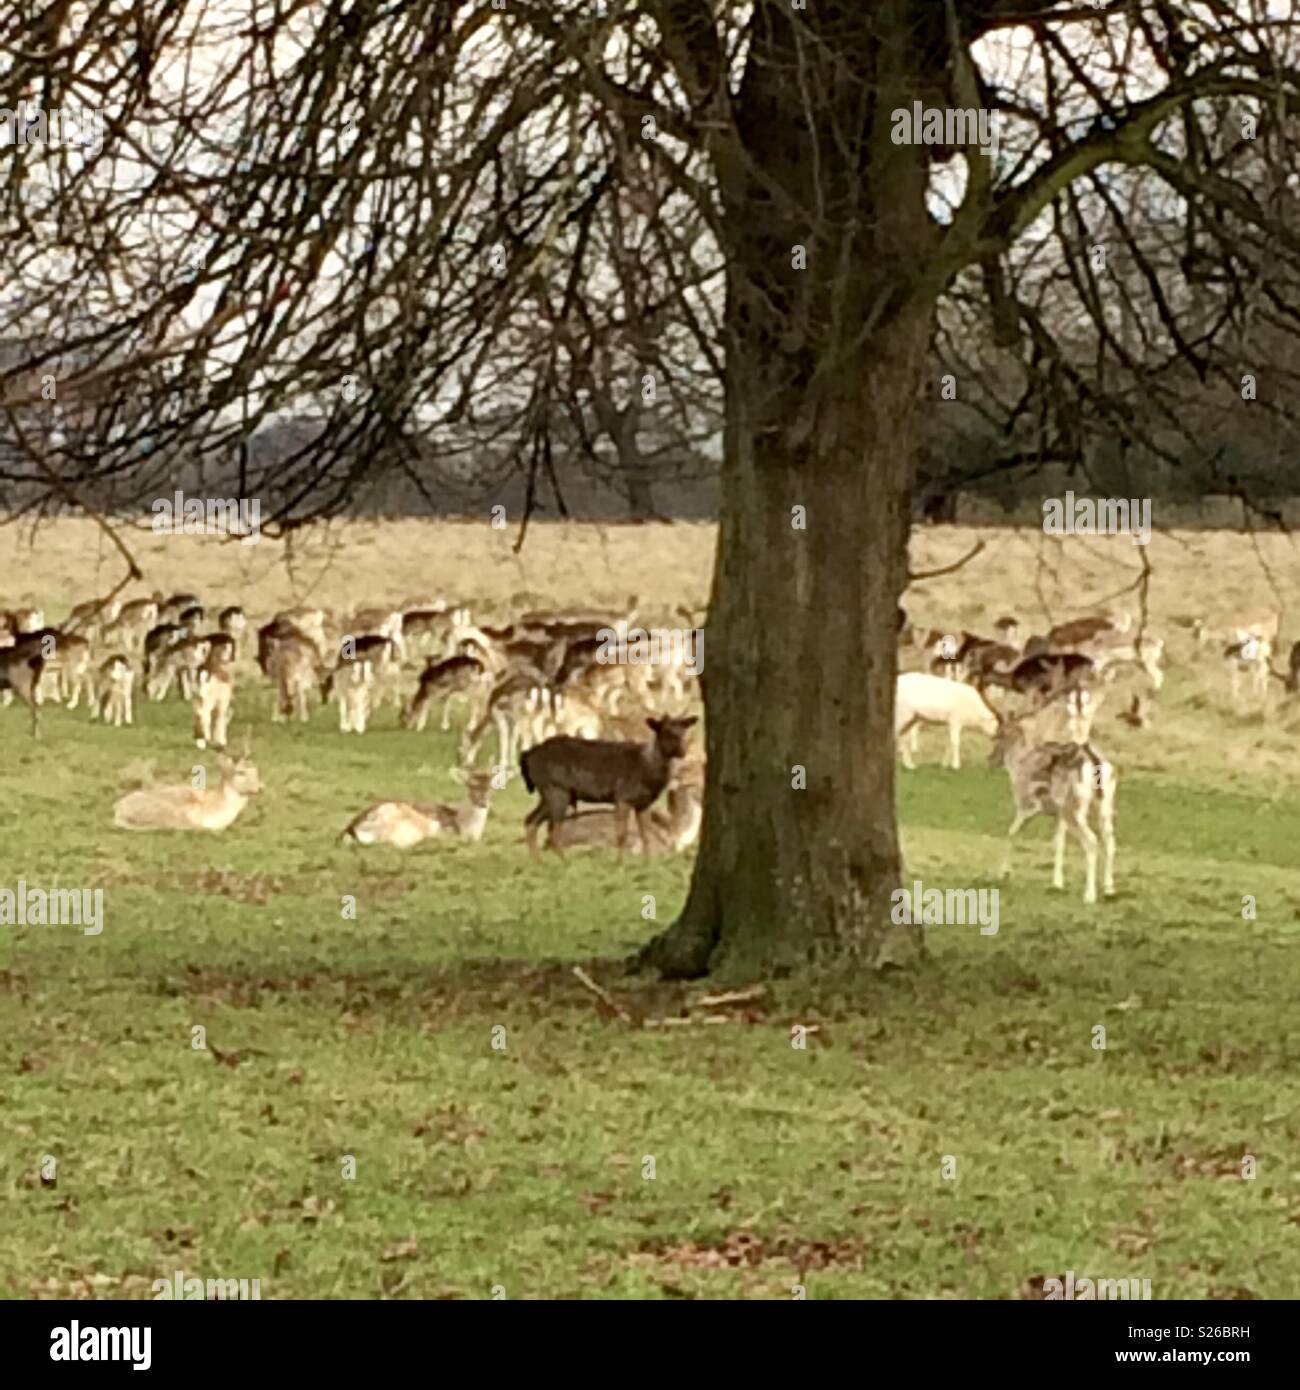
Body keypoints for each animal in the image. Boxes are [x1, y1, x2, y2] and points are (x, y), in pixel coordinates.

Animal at [989, 716, 1117, 905]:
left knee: (1091, 841)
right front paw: (1057, 883)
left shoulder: (1027, 805)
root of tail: (1094, 760)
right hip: (1104, 806)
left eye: (997, 735)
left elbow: (1012, 832)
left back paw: (1089, 895)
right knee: (1110, 841)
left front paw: (1003, 873)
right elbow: (1059, 843)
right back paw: (1109, 890)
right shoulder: (1058, 815)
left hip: (1074, 809)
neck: (1020, 761)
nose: (990, 758)